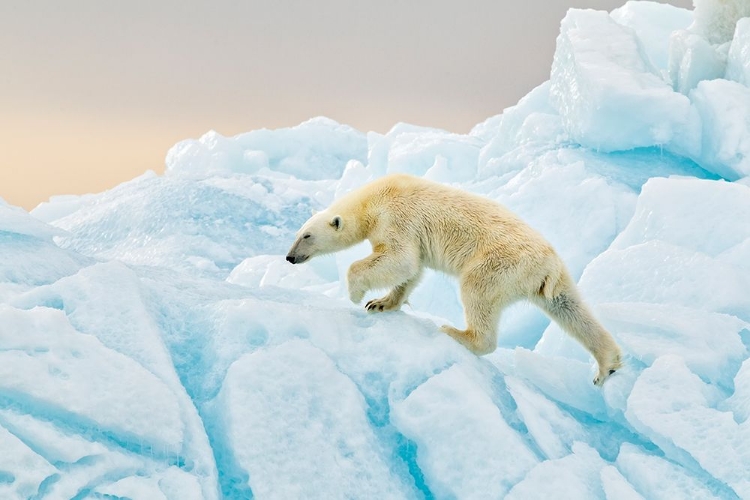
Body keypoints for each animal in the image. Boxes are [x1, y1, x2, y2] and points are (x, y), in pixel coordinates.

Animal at [288, 174, 624, 384]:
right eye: (297, 233)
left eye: (306, 236)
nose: (290, 257)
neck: (374, 198)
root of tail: (547, 265)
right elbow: (411, 270)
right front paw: (380, 303)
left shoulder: (397, 217)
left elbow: (401, 259)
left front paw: (357, 294)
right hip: (549, 280)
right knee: (570, 309)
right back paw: (606, 366)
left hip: (500, 264)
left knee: (477, 291)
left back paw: (456, 333)